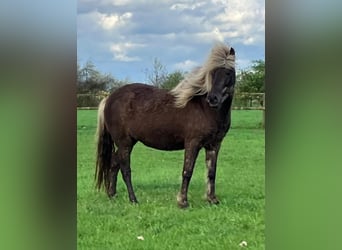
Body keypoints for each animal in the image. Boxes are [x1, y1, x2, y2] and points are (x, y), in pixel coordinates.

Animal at [95, 43, 236, 207]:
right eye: (211, 73)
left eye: (228, 72)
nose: (213, 99)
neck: (206, 109)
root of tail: (109, 98)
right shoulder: (192, 143)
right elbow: (187, 171)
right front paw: (183, 202)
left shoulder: (214, 145)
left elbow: (211, 172)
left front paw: (212, 199)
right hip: (124, 143)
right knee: (125, 170)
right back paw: (133, 199)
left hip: (128, 142)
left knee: (114, 164)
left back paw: (112, 195)